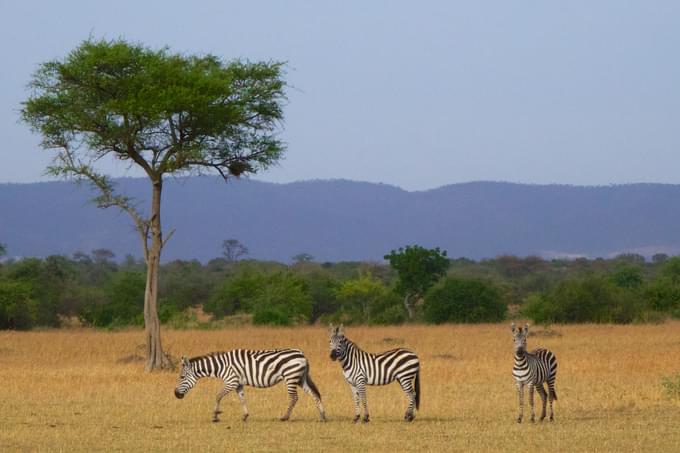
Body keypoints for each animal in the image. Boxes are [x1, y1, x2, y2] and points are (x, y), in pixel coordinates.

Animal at [174, 348, 326, 422]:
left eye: (181, 377)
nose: (175, 394)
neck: (222, 366)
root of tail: (302, 354)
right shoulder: (238, 384)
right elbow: (242, 399)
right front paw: (245, 416)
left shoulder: (231, 381)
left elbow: (218, 396)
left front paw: (215, 415)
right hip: (300, 378)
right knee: (314, 394)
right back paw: (322, 416)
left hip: (290, 377)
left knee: (294, 398)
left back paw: (285, 417)